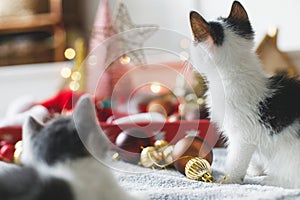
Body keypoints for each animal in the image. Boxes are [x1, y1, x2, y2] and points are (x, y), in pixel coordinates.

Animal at [190, 0, 300, 188]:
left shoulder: (243, 134)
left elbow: (236, 159)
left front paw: (229, 179)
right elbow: (256, 155)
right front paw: (256, 170)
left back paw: (272, 180)